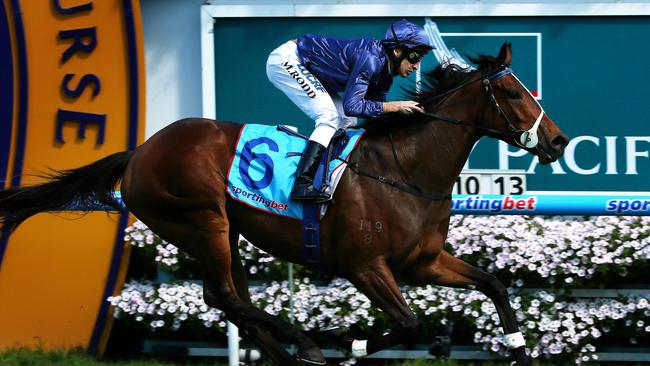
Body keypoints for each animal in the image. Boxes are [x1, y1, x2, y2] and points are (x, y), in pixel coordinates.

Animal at [0, 43, 564, 366]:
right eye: (514, 94)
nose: (558, 142)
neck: (404, 170)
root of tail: (140, 150)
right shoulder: (364, 265)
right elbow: (408, 324)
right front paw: (347, 342)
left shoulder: (422, 262)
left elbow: (492, 284)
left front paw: (518, 349)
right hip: (198, 219)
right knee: (226, 297)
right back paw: (307, 344)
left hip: (223, 230)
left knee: (226, 298)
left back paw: (293, 353)